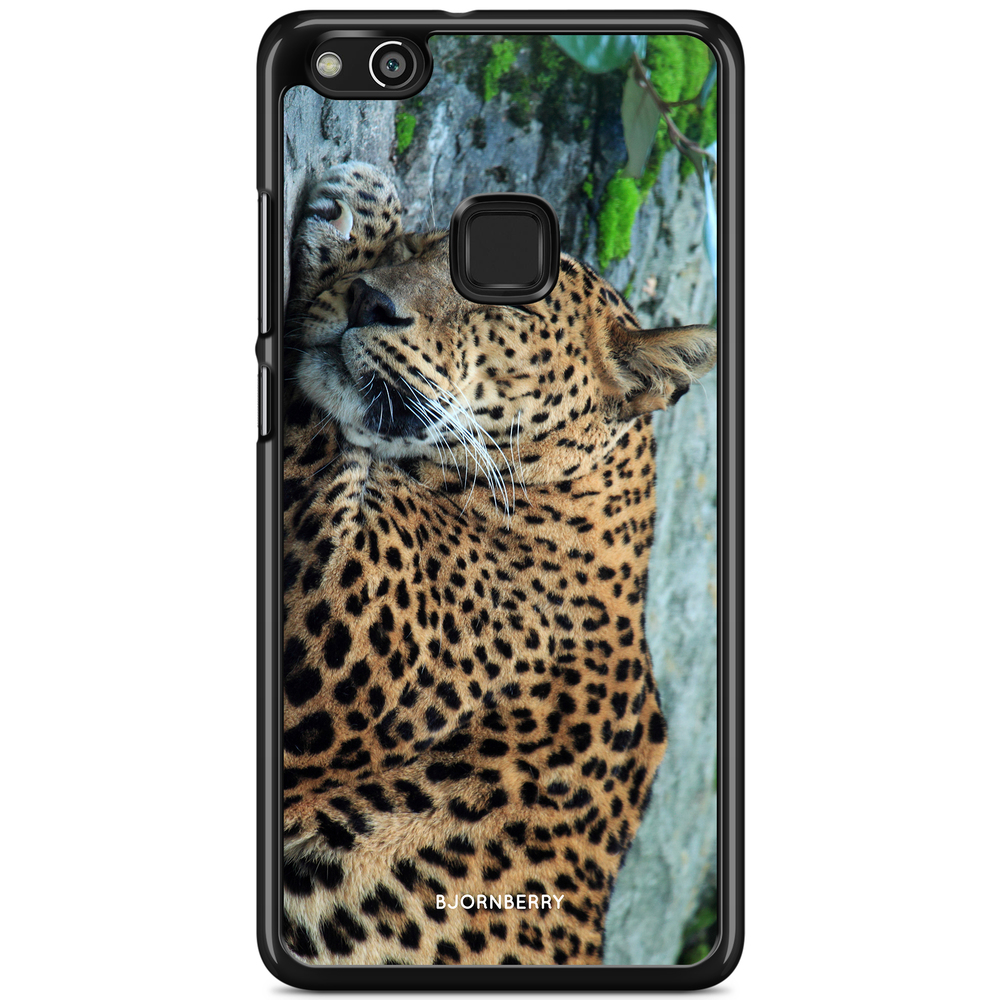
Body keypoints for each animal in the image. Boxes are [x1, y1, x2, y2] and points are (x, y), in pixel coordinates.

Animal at [281, 161, 716, 966]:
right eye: (423, 247)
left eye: (499, 311)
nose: (368, 300)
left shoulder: (339, 622)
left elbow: (318, 427)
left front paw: (357, 210)